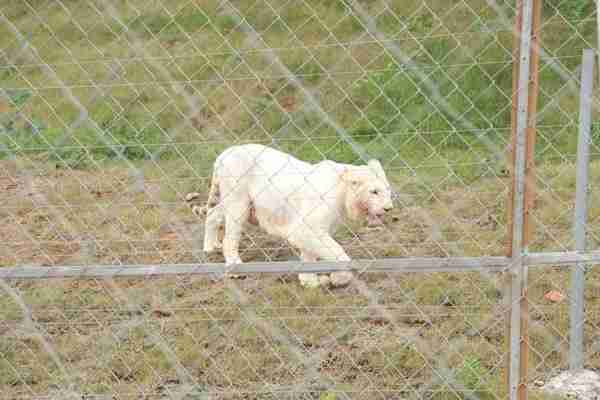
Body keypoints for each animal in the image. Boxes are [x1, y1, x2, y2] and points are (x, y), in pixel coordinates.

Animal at [186, 144, 394, 288]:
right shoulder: (309, 227)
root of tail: (225, 153)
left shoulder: (314, 230)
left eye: (387, 190)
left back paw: (210, 247)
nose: (389, 208)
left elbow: (310, 255)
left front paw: (309, 281)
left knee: (212, 214)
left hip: (231, 201)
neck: (344, 196)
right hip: (238, 203)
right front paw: (337, 278)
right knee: (230, 238)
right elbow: (340, 255)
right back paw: (236, 269)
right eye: (374, 192)